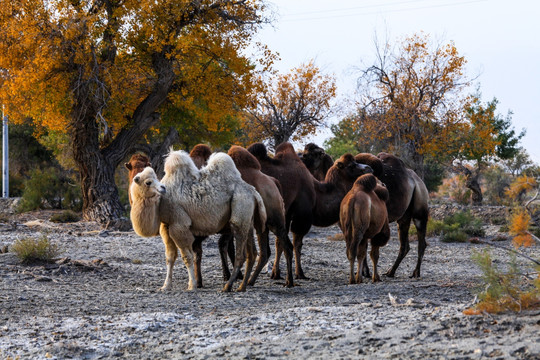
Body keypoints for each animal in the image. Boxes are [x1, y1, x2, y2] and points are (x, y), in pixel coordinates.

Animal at [131, 150, 266, 292]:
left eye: (154, 180)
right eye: (148, 182)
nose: (162, 188)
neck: (161, 203)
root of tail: (254, 192)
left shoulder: (179, 224)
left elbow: (187, 256)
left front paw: (192, 285)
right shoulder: (166, 227)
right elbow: (170, 257)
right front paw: (166, 286)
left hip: (240, 209)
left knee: (241, 254)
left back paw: (228, 286)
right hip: (248, 220)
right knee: (252, 253)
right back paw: (242, 286)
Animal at [248, 142, 372, 280]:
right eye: (351, 165)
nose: (368, 168)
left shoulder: (286, 214)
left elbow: (279, 242)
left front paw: (276, 273)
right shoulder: (302, 214)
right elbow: (297, 243)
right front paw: (299, 273)